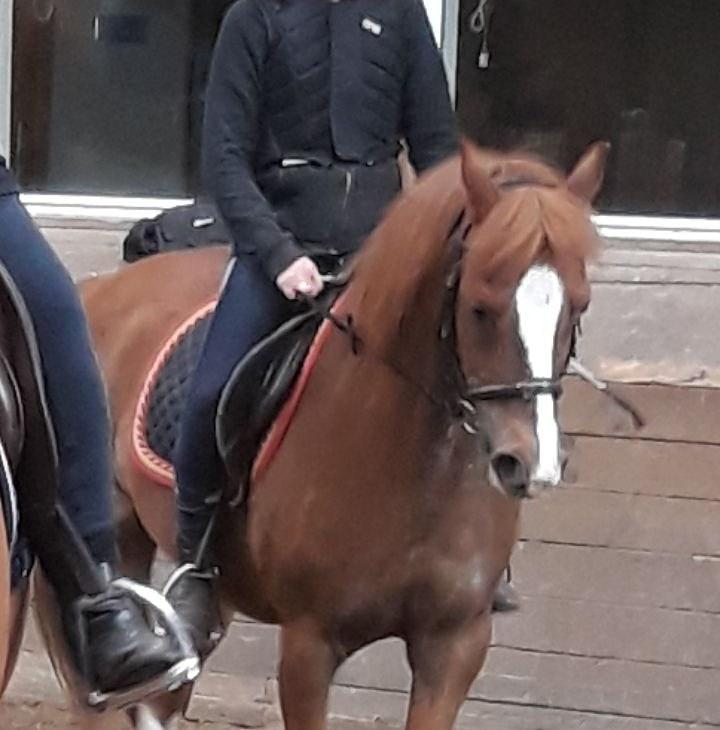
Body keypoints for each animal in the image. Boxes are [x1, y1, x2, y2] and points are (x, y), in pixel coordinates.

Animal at [71, 140, 608, 729]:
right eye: (480, 308)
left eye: (580, 306)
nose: (530, 464)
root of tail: (97, 288)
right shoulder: (310, 644)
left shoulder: (455, 643)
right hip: (121, 538)